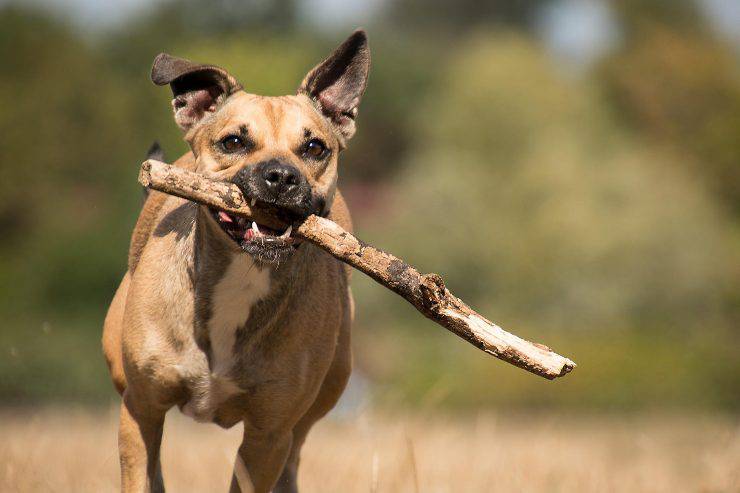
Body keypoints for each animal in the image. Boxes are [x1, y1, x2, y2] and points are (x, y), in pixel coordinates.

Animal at [102, 31, 370, 492]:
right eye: (234, 142)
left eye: (314, 147)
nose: (281, 176)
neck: (243, 275)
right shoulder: (141, 408)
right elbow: (140, 472)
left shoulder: (268, 435)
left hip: (318, 400)